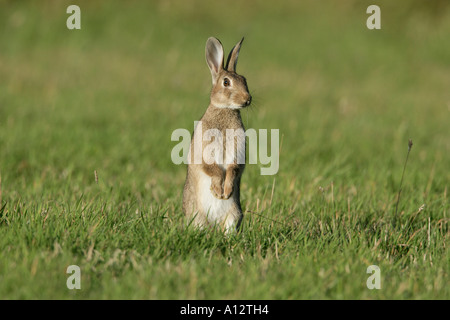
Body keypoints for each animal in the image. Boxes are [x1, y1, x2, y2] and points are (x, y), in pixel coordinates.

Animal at [184, 37, 253, 232]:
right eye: (226, 82)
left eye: (244, 79)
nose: (247, 99)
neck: (225, 109)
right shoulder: (202, 152)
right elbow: (211, 167)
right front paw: (217, 191)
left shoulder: (238, 153)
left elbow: (233, 168)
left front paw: (226, 192)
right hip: (197, 216)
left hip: (234, 213)